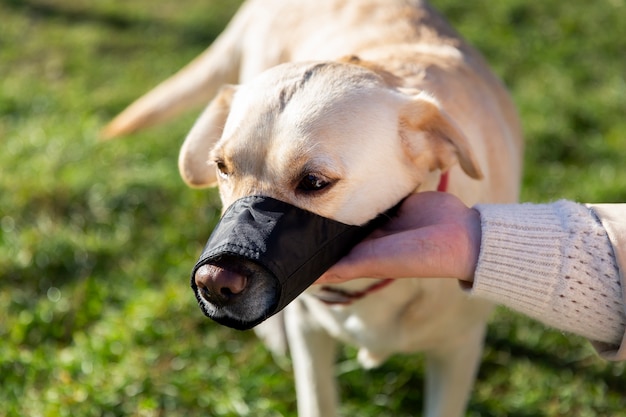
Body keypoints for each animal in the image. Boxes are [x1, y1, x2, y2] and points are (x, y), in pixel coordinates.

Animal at [106, 0, 520, 416]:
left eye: (314, 182)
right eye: (222, 167)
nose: (213, 284)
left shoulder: (458, 350)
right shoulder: (309, 336)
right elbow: (317, 398)